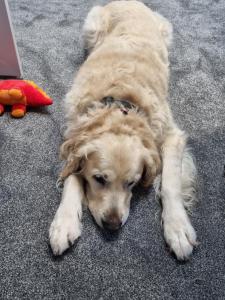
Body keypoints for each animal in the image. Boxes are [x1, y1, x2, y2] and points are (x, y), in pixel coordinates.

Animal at [48, 0, 197, 260]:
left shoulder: (171, 135)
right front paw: (64, 222)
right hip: (92, 26)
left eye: (132, 183)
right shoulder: (74, 132)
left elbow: (170, 182)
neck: (120, 103)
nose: (112, 224)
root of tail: (130, 1)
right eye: (98, 179)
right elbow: (72, 177)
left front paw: (178, 229)